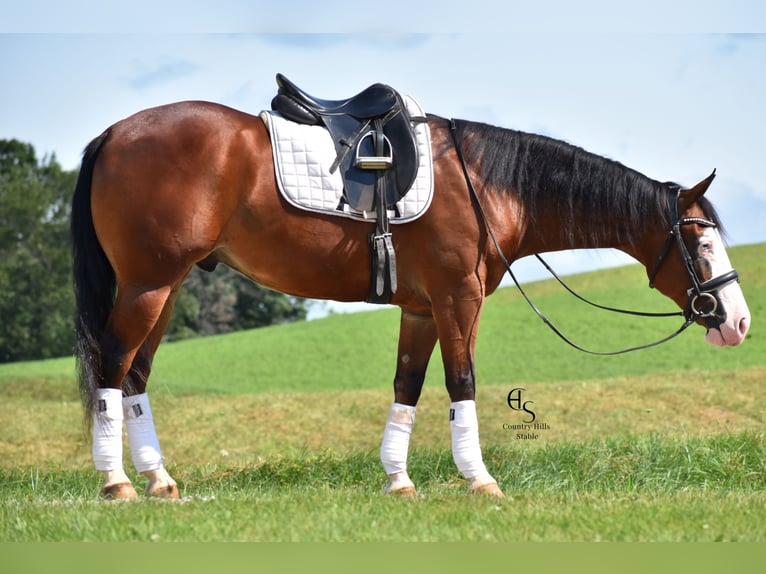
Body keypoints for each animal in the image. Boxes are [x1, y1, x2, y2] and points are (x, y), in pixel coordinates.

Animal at [71, 98, 751, 500]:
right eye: (700, 239)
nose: (738, 320)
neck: (485, 183)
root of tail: (114, 132)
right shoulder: (457, 299)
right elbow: (462, 383)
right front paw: (480, 481)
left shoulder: (422, 309)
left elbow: (408, 388)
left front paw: (399, 482)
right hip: (148, 284)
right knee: (112, 366)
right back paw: (116, 483)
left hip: (167, 285)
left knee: (136, 375)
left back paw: (159, 480)